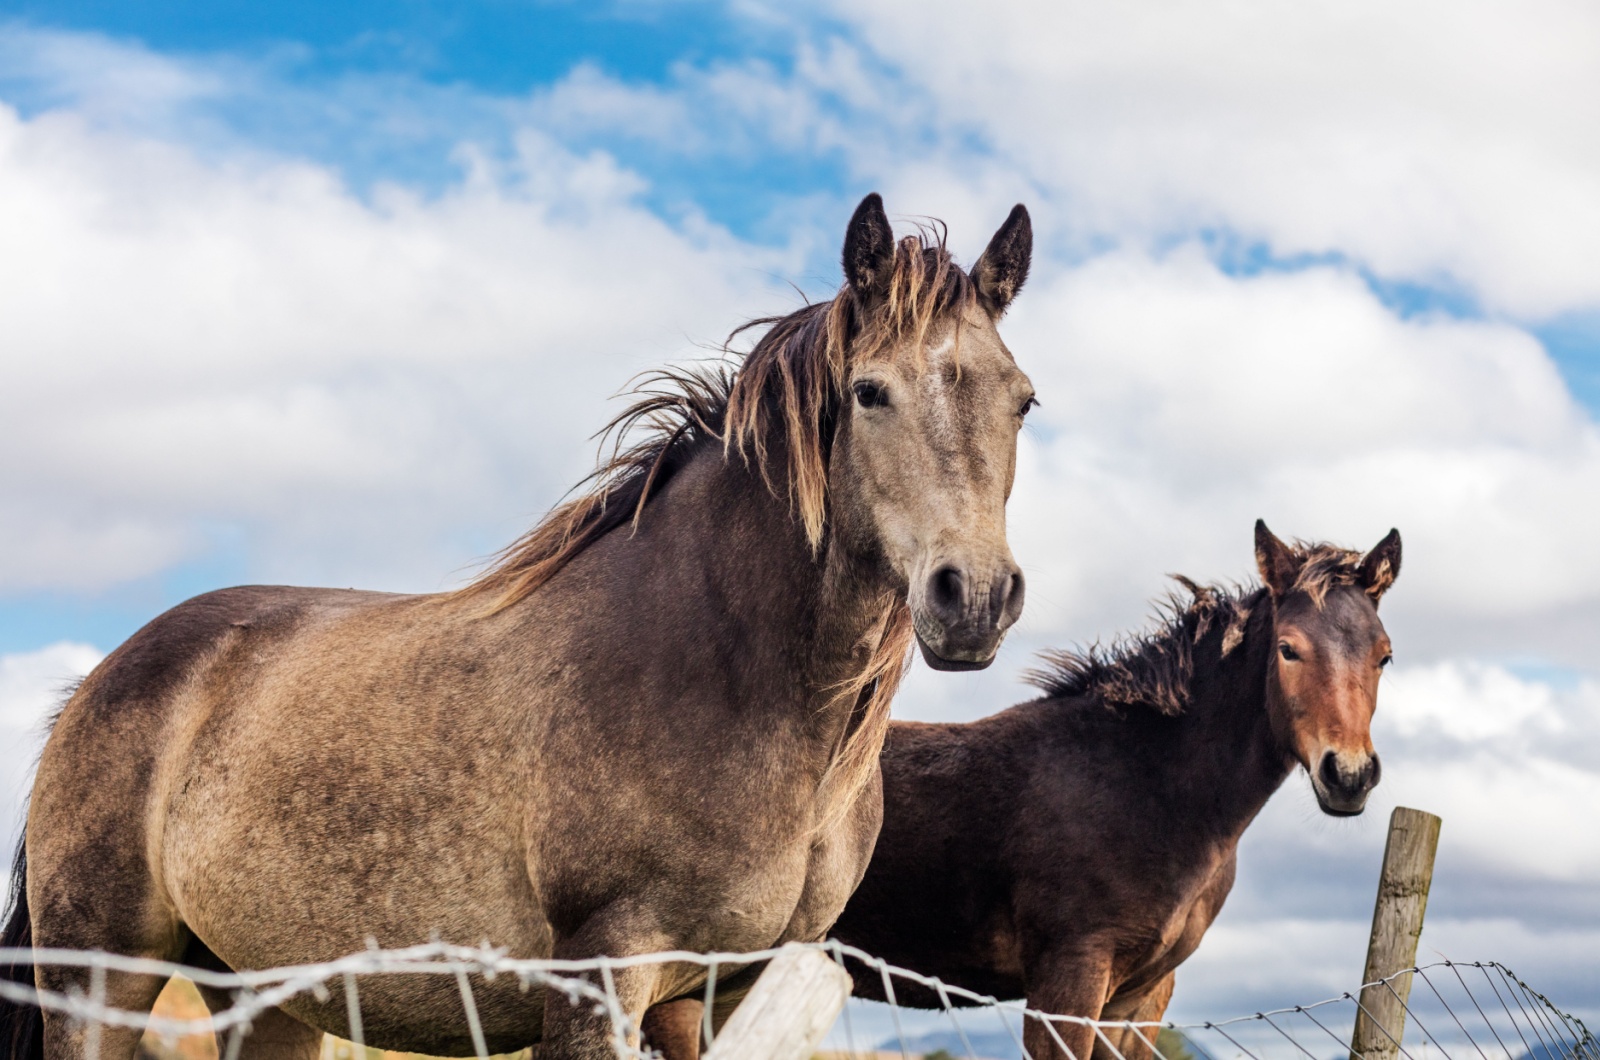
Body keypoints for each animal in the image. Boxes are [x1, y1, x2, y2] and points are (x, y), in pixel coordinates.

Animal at [0, 195, 1036, 1060]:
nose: (973, 598)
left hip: (268, 995)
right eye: (870, 392)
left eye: (1022, 400)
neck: (724, 671)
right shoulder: (597, 976)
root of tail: (99, 682)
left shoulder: (724, 994)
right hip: (102, 977)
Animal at [636, 521, 1401, 1060]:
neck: (1152, 788)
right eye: (1289, 649)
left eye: (1384, 654)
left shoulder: (1142, 998)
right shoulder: (1068, 981)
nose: (1349, 774)